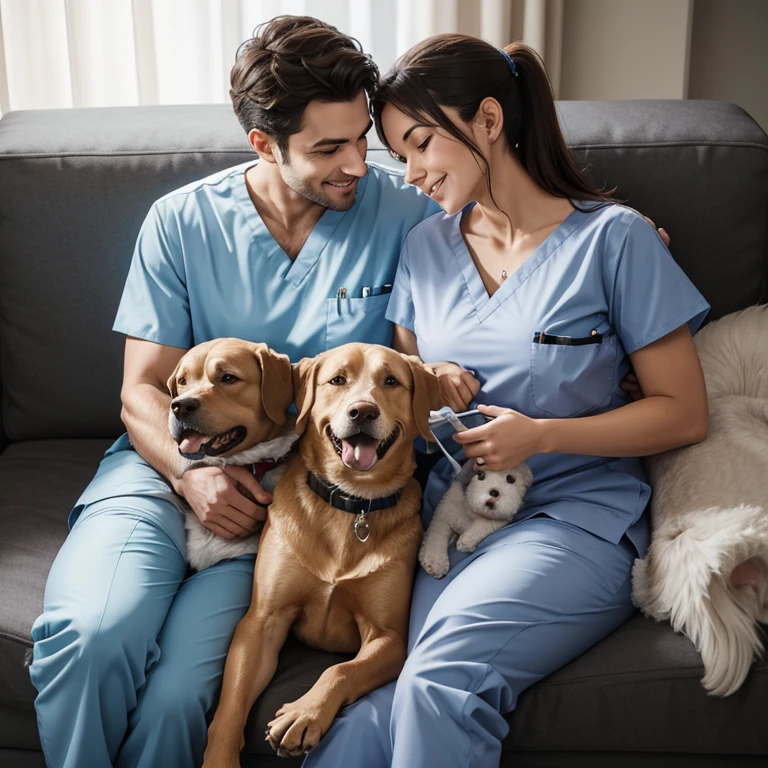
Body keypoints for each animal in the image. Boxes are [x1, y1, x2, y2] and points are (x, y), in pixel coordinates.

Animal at [204, 344, 440, 764]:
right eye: (338, 380)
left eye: (391, 381)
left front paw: (305, 713)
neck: (351, 506)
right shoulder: (261, 623)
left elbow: (341, 671)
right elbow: (229, 707)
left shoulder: (389, 637)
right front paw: (218, 758)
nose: (363, 411)